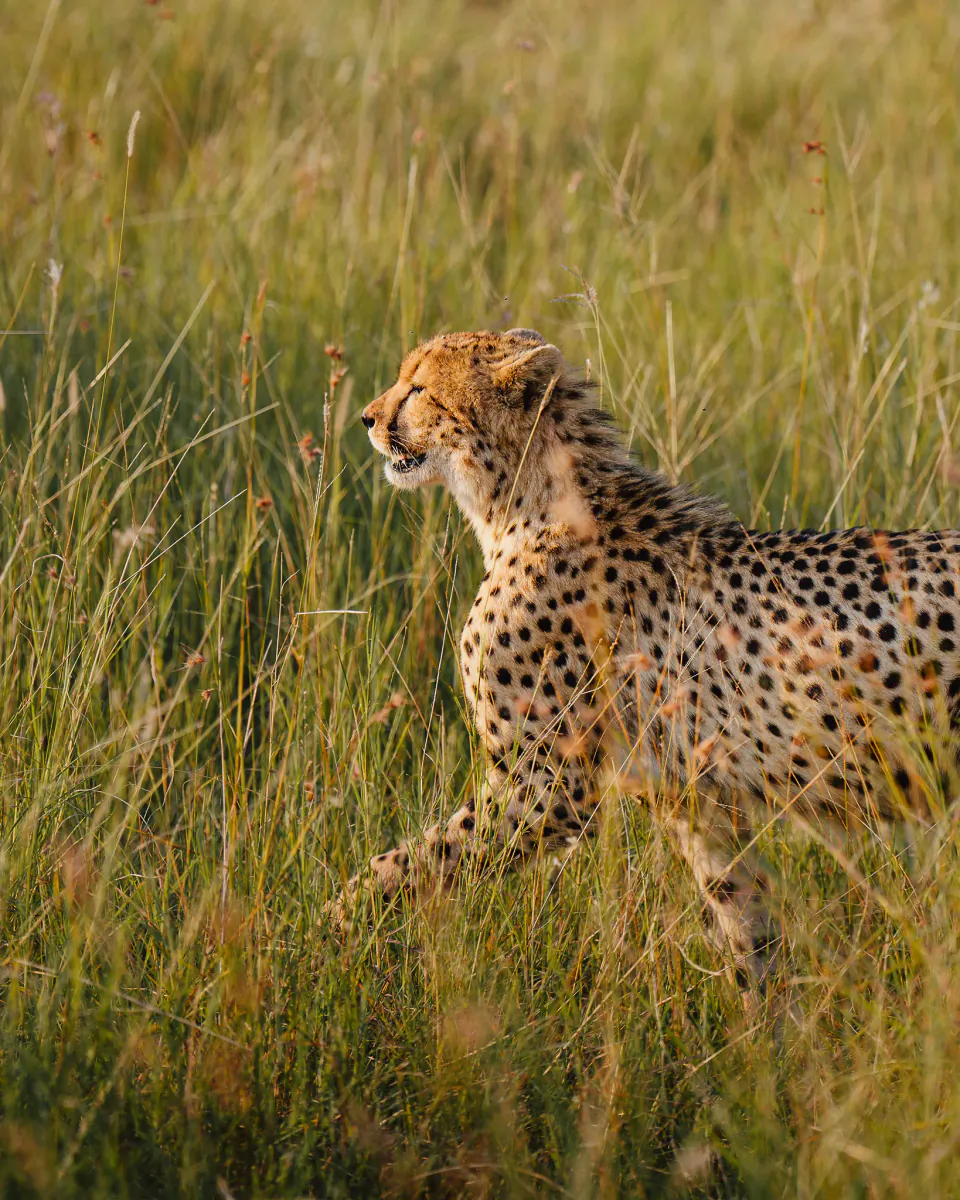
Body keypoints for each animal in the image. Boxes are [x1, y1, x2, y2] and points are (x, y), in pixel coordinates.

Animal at [341, 327, 960, 983]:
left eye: (419, 389)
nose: (367, 418)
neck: (525, 504)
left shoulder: (549, 789)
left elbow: (409, 861)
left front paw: (332, 927)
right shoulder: (696, 802)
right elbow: (745, 923)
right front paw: (766, 1010)